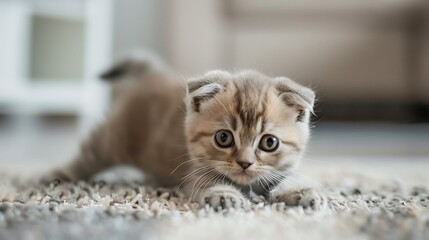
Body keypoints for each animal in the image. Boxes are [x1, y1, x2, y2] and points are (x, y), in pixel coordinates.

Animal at [44, 58, 320, 210]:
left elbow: (288, 178)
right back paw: (57, 175)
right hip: (114, 138)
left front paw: (303, 191)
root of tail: (153, 72)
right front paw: (224, 195)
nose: (245, 163)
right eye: (224, 138)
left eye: (269, 142)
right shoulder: (196, 174)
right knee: (89, 154)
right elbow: (210, 183)